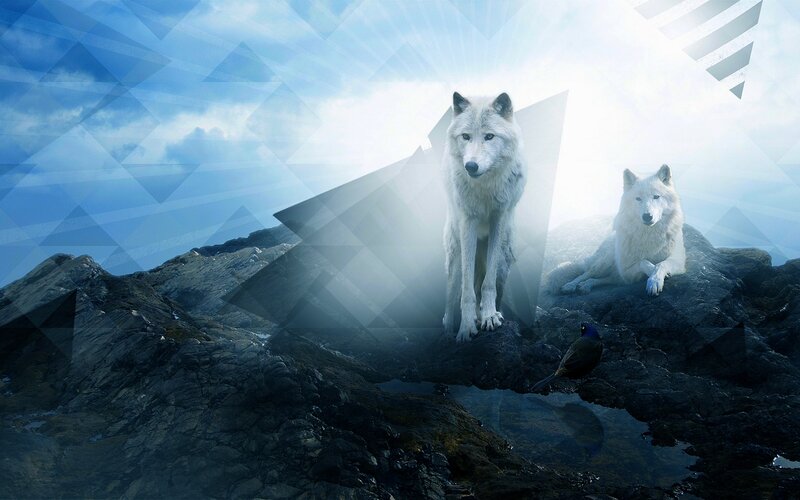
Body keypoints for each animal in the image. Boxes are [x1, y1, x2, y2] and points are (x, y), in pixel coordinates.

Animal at [441, 92, 527, 342]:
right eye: (466, 136)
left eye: (489, 136)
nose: (471, 165)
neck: (485, 186)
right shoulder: (468, 223)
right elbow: (467, 292)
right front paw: (466, 327)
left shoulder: (499, 219)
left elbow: (487, 286)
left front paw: (489, 317)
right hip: (455, 254)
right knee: (452, 295)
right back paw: (449, 328)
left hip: (505, 262)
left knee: (488, 284)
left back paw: (489, 315)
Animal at [547, 164, 685, 297]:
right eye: (638, 198)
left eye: (656, 197)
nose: (647, 216)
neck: (649, 234)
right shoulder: (626, 271)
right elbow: (644, 262)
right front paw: (653, 275)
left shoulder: (678, 261)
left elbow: (661, 264)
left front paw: (655, 280)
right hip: (604, 262)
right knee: (586, 273)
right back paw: (570, 285)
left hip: (616, 277)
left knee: (603, 279)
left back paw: (586, 286)